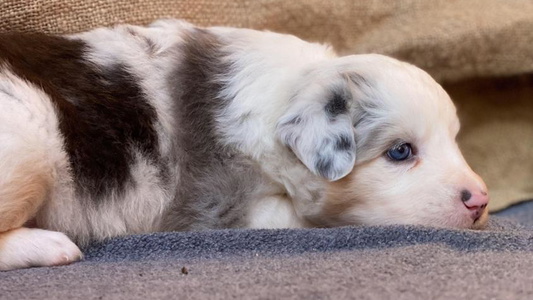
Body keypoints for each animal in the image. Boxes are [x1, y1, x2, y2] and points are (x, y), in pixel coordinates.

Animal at [0, 19, 486, 270]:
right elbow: (296, 219)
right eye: (400, 152)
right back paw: (52, 246)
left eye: (453, 138)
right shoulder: (217, 208)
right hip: (30, 140)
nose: (481, 201)